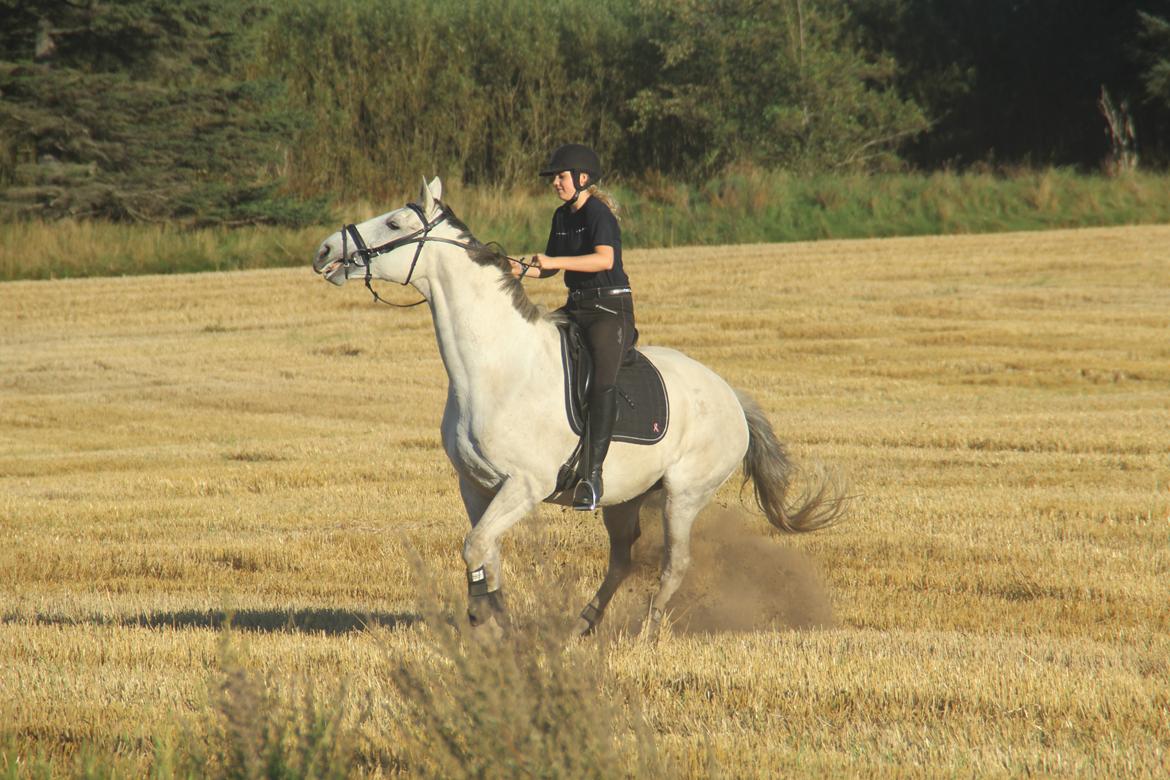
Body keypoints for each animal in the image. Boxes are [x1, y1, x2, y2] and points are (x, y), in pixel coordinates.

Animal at [311, 180, 842, 636]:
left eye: (395, 223)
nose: (325, 251)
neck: (496, 366)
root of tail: (731, 395)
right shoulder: (476, 485)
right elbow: (486, 555)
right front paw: (492, 625)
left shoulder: (524, 486)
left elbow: (476, 547)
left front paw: (490, 624)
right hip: (624, 498)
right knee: (622, 560)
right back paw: (582, 624)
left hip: (684, 495)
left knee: (674, 564)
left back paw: (646, 632)